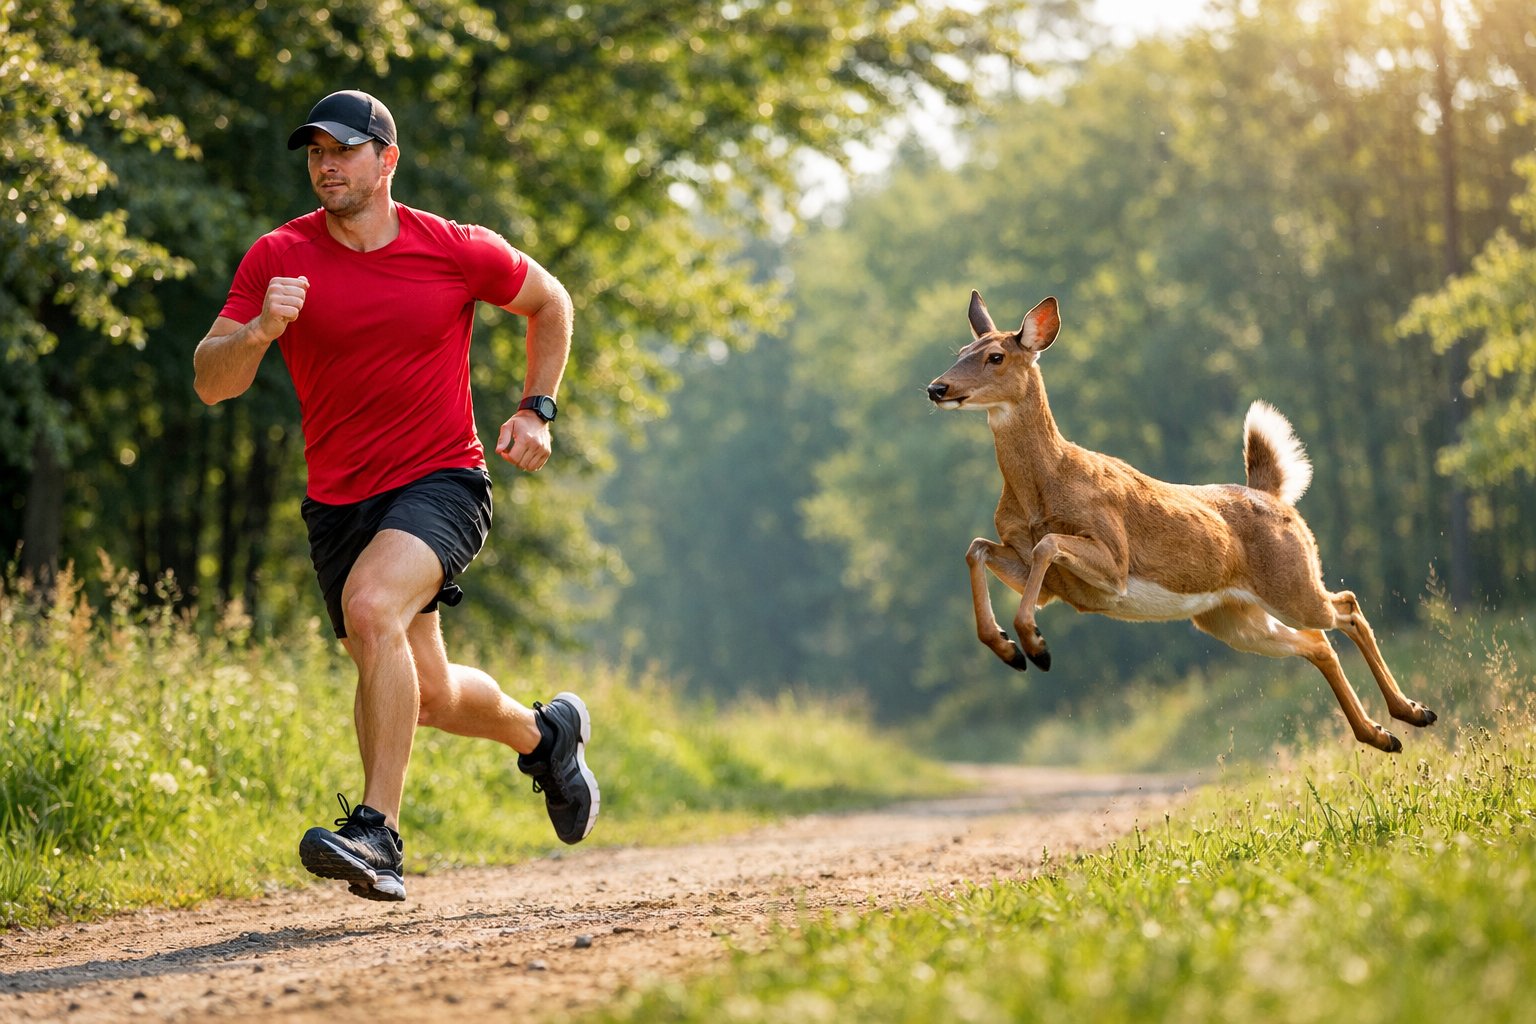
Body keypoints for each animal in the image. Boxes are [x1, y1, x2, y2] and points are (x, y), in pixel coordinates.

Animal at [926, 290, 1437, 753]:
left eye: (995, 355)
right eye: (960, 351)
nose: (936, 388)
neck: (1043, 485)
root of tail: (1272, 495)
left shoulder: (1114, 559)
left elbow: (1046, 543)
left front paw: (1035, 646)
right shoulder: (1054, 584)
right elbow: (977, 547)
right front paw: (1009, 649)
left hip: (1291, 582)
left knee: (1346, 608)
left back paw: (1413, 712)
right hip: (1230, 617)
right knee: (1317, 643)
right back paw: (1384, 734)